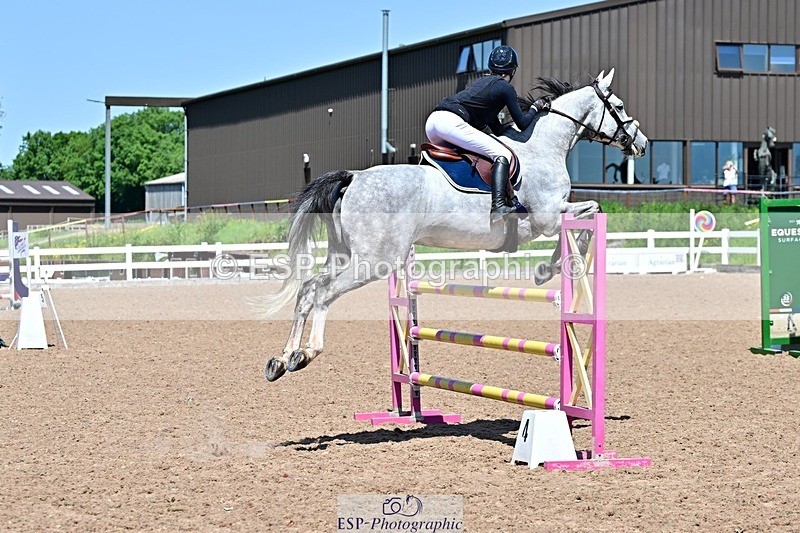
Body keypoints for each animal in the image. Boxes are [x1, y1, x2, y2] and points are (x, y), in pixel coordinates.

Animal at [258, 69, 648, 382]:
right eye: (619, 106)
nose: (642, 144)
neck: (542, 146)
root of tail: (353, 178)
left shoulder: (552, 217)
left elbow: (589, 214)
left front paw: (547, 269)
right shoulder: (548, 217)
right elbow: (590, 211)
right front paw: (546, 269)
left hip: (344, 254)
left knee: (308, 288)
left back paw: (282, 359)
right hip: (375, 260)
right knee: (324, 293)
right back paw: (306, 353)